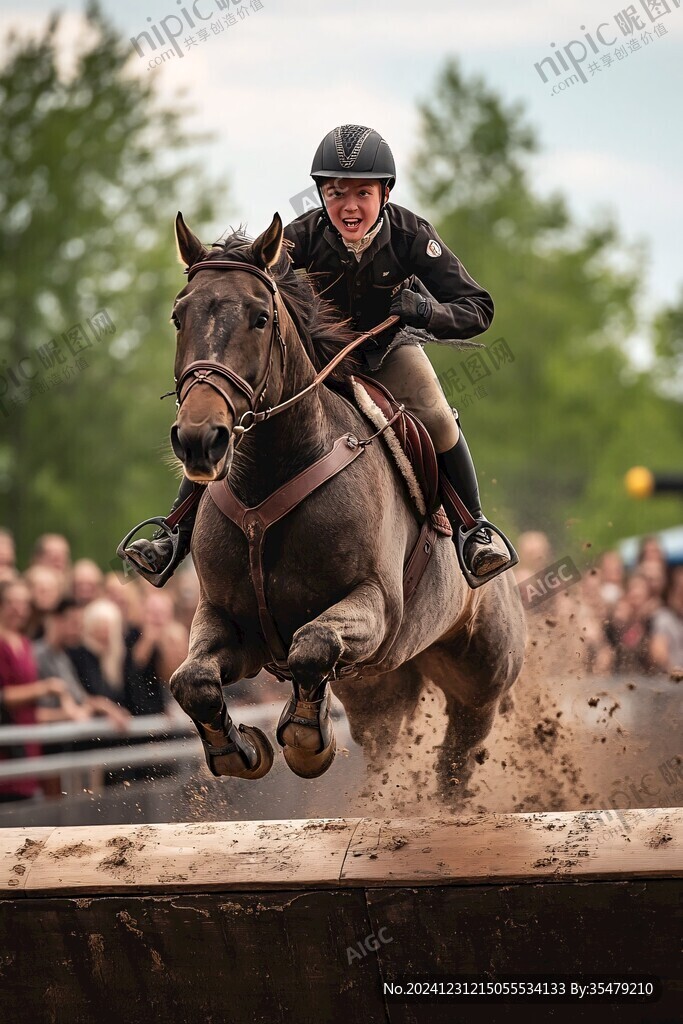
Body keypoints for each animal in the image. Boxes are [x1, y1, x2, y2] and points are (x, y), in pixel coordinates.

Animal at [162, 209, 528, 798]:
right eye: (179, 317)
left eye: (260, 318)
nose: (200, 440)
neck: (268, 480)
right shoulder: (224, 618)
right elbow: (192, 680)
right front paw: (240, 749)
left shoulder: (374, 605)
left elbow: (312, 645)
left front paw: (305, 740)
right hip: (381, 688)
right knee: (386, 741)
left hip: (481, 680)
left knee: (457, 756)